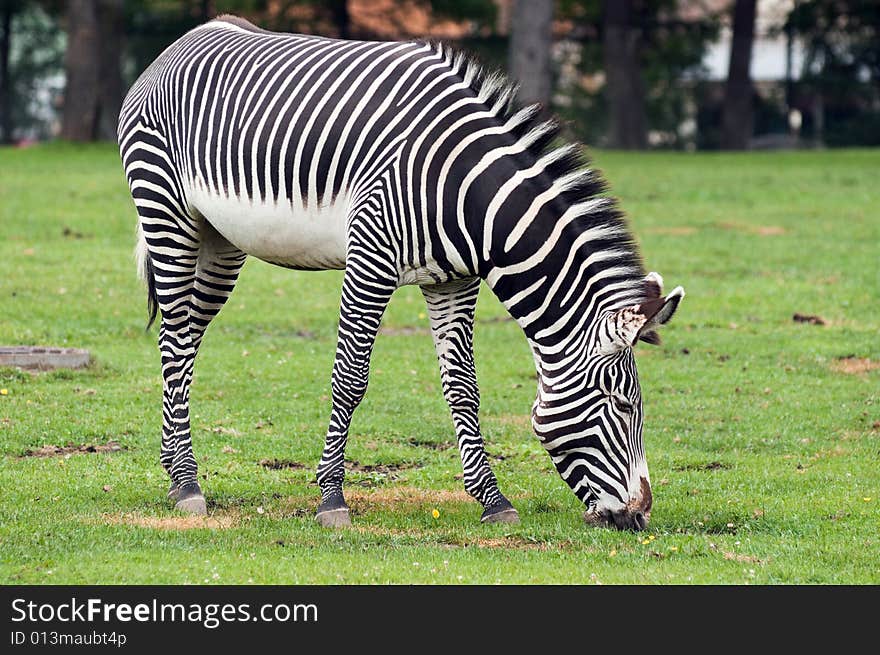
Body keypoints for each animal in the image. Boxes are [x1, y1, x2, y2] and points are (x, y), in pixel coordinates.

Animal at [117, 15, 684, 532]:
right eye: (621, 404)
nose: (640, 515)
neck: (466, 194)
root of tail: (184, 41)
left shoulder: (453, 280)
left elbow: (463, 387)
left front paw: (492, 501)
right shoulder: (371, 254)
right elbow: (350, 378)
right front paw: (331, 498)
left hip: (221, 240)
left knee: (185, 339)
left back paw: (173, 467)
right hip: (167, 212)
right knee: (174, 340)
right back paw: (187, 484)